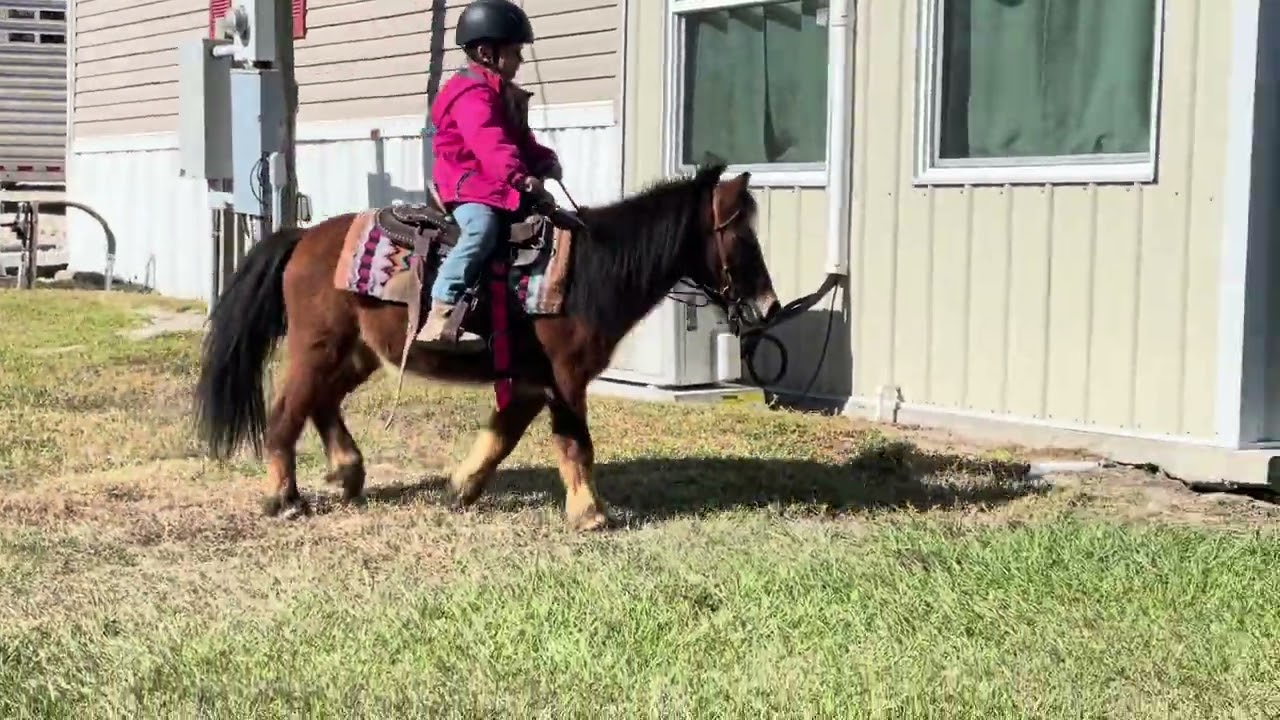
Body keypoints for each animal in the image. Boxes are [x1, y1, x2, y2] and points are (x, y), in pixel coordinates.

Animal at [193, 163, 781, 531]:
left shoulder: (526, 382)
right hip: (318, 348)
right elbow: (575, 444)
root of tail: (303, 236)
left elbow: (501, 437)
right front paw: (591, 515)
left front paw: (459, 490)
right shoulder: (563, 379)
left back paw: (349, 471)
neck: (589, 272)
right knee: (286, 412)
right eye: (740, 238)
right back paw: (285, 499)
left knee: (323, 403)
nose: (770, 306)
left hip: (357, 353)